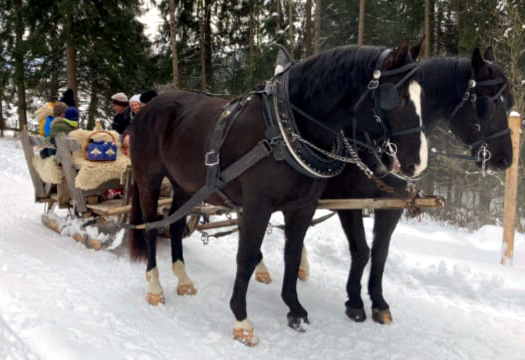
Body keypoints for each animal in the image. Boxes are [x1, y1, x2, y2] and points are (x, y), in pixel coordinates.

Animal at [127, 41, 426, 346]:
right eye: (396, 98)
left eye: (423, 95)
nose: (416, 163)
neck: (286, 128)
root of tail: (148, 107)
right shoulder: (259, 205)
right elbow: (246, 256)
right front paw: (241, 320)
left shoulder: (303, 206)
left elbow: (292, 254)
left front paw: (295, 309)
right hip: (149, 178)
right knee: (151, 227)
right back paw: (155, 286)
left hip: (185, 186)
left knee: (175, 226)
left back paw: (184, 280)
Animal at [254, 46, 512, 324]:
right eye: (489, 104)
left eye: (509, 103)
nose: (505, 159)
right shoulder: (350, 203)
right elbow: (361, 250)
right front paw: (355, 302)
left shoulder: (391, 206)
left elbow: (380, 253)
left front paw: (378, 302)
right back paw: (261, 267)